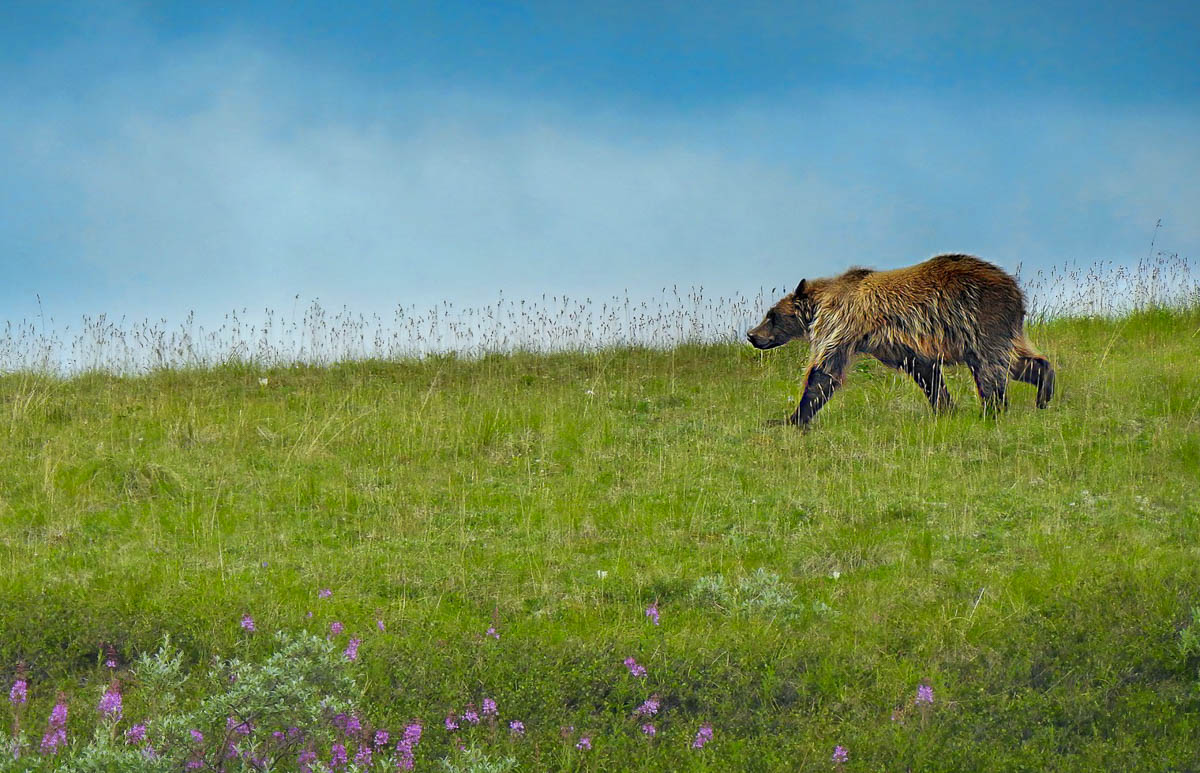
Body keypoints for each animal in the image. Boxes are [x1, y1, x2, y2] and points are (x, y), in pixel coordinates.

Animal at [746, 254, 1054, 426]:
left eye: (771, 315)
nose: (752, 335)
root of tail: (1015, 288)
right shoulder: (899, 346)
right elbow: (926, 373)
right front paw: (945, 408)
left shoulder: (841, 323)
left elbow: (825, 369)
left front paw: (788, 419)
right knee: (1014, 361)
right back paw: (1044, 390)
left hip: (982, 318)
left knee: (991, 367)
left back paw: (993, 409)